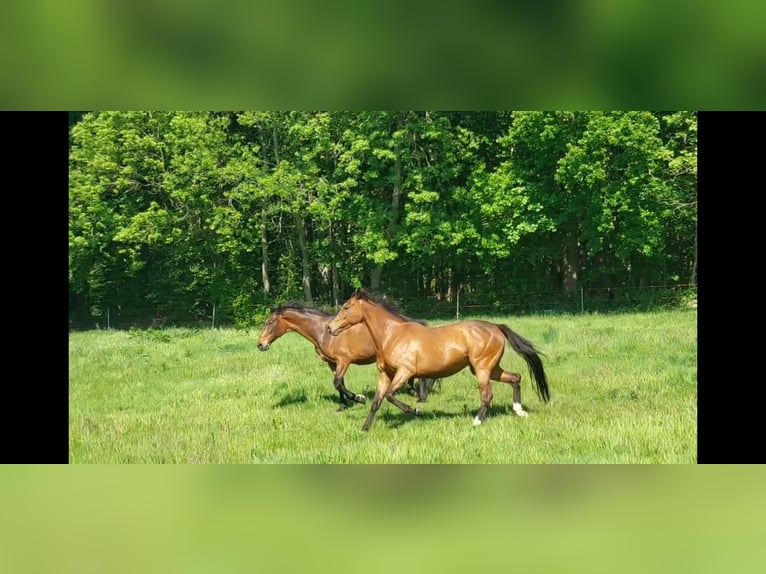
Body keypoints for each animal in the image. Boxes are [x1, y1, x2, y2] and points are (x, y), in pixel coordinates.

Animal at [258, 304, 438, 412]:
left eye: (270, 322)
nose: (260, 344)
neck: (323, 331)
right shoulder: (333, 363)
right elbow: (339, 384)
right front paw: (343, 406)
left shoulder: (344, 361)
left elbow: (338, 383)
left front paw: (359, 398)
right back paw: (415, 393)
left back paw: (421, 397)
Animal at [328, 292, 548, 432]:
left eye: (346, 307)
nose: (330, 328)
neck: (392, 334)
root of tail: (495, 327)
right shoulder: (385, 374)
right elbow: (376, 402)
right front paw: (365, 428)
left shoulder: (405, 372)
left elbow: (390, 396)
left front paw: (416, 410)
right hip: (491, 368)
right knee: (515, 377)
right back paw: (519, 411)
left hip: (482, 369)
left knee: (487, 395)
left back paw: (476, 422)